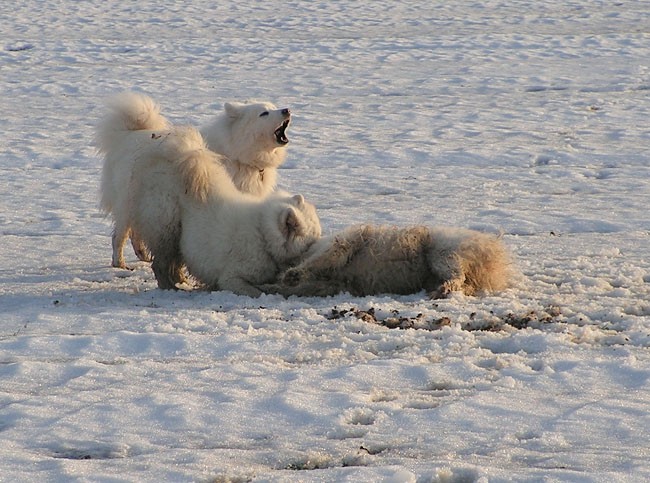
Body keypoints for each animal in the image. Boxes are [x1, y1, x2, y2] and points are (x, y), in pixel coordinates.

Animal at [96, 91, 292, 270]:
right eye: (264, 113)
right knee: (119, 235)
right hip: (128, 202)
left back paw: (143, 255)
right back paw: (119, 263)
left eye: (274, 107)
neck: (238, 155)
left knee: (135, 231)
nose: (287, 110)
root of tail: (127, 135)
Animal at [128, 124, 320, 294]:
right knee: (160, 264)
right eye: (312, 242)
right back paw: (171, 288)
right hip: (167, 229)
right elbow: (254, 291)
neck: (264, 236)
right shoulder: (231, 277)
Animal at [260, 224, 512, 298]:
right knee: (464, 283)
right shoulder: (335, 283)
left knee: (456, 275)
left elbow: (320, 261)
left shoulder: (346, 243)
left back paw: (445, 288)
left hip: (441, 254)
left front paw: (292, 275)